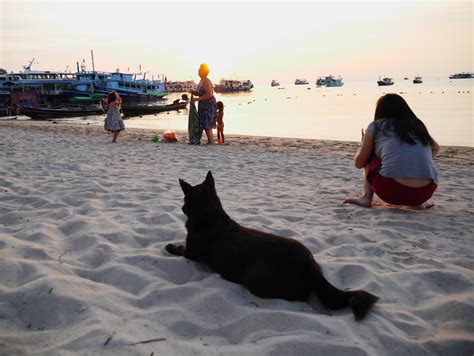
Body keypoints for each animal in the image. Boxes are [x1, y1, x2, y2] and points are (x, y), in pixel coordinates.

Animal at [166, 172, 378, 320]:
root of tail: (308, 263)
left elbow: (179, 249)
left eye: (185, 200)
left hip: (254, 278)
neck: (210, 213)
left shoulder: (190, 253)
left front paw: (170, 247)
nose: (181, 207)